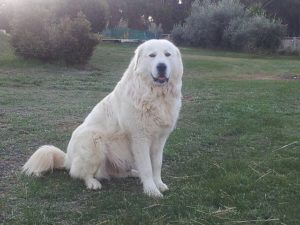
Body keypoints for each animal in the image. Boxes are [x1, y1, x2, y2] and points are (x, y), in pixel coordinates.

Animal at [22, 39, 183, 198]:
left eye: (167, 55)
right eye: (152, 55)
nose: (161, 66)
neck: (156, 96)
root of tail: (67, 158)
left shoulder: (160, 139)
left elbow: (156, 164)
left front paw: (159, 184)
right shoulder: (140, 138)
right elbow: (147, 166)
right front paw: (151, 190)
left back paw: (134, 173)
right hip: (93, 141)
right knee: (79, 173)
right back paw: (92, 183)